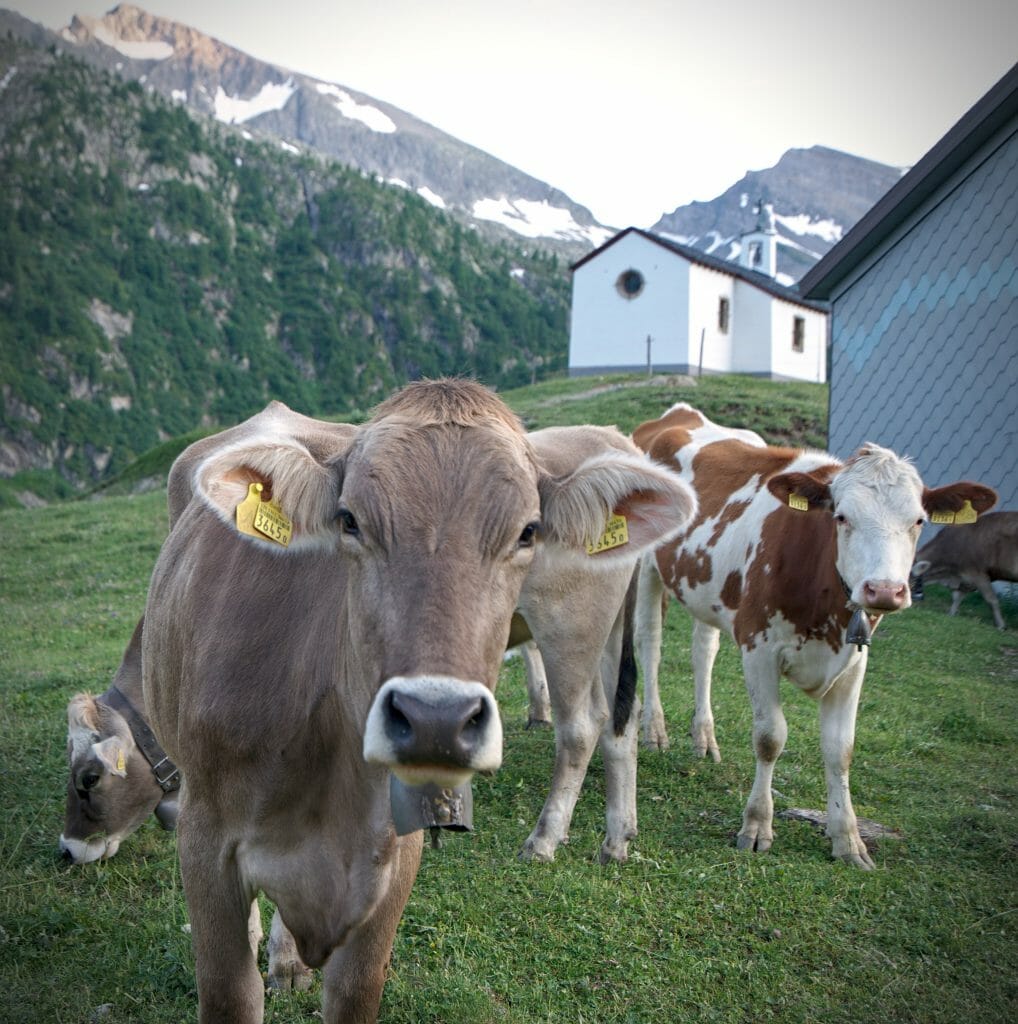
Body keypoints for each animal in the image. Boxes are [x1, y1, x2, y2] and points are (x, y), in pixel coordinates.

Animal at [143, 380, 696, 1019]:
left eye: (529, 531)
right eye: (349, 520)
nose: (437, 719)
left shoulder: (391, 868)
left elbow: (357, 990)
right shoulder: (205, 842)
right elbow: (231, 991)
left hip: (573, 627)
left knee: (585, 725)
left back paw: (547, 840)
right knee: (615, 724)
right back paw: (615, 837)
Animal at [630, 403, 995, 868]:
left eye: (918, 521)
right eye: (841, 517)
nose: (884, 590)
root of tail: (680, 414)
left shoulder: (854, 660)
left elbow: (841, 749)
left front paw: (848, 841)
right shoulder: (759, 647)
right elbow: (770, 738)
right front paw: (756, 826)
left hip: (704, 589)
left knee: (703, 651)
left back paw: (704, 739)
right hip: (645, 568)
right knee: (650, 643)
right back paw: (654, 731)